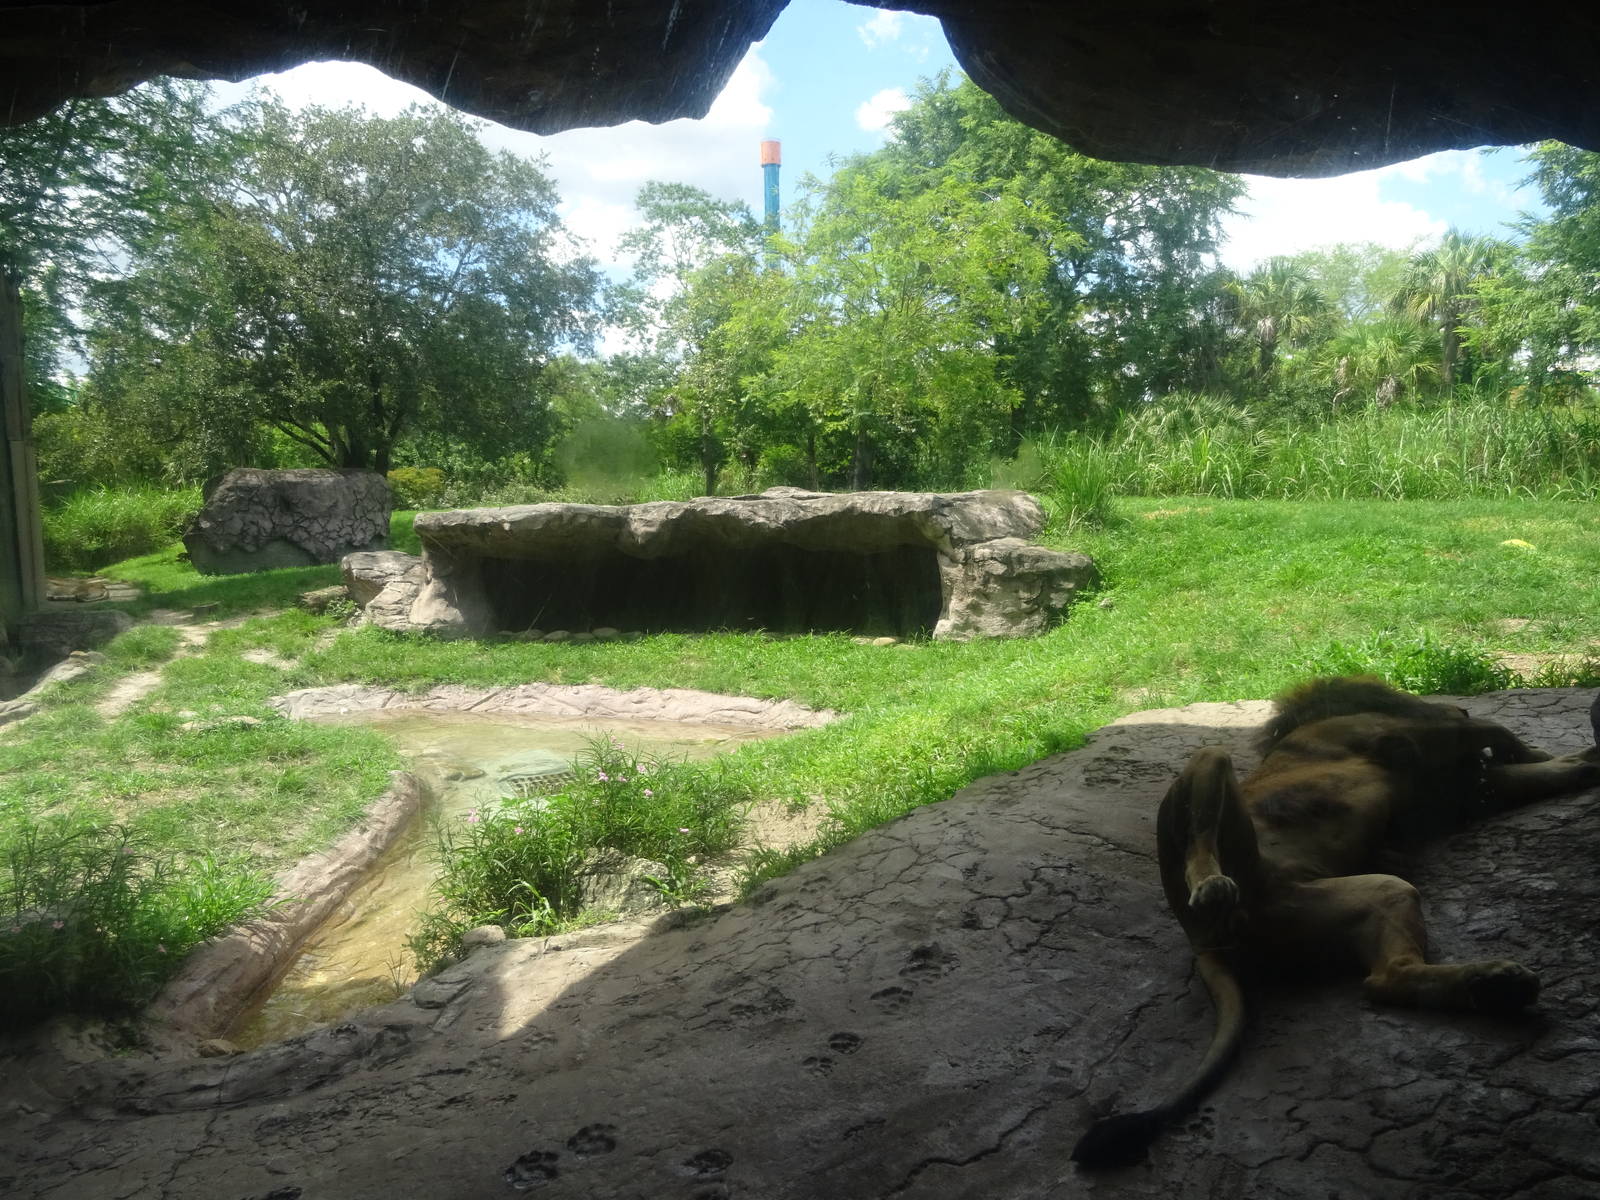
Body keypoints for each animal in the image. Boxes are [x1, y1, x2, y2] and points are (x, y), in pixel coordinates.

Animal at [1071, 676, 1600, 1169]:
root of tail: (1203, 941)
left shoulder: (1460, 789)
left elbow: (1526, 772)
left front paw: (1580, 763)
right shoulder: (1425, 734)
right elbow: (1500, 734)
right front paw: (1567, 753)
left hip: (1379, 892)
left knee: (1386, 979)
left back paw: (1494, 985)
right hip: (1212, 770)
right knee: (1206, 818)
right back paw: (1212, 887)